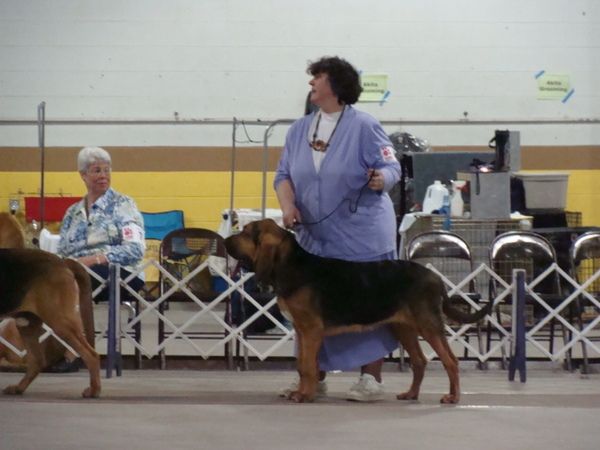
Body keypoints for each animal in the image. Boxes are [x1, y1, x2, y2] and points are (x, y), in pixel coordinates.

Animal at [0, 213, 100, 397]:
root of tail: (62, 261)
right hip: (27, 323)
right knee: (37, 362)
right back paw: (18, 388)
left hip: (60, 322)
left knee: (91, 354)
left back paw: (94, 390)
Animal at [224, 219, 490, 404]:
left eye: (245, 232)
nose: (224, 241)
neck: (291, 264)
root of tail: (436, 278)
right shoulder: (302, 331)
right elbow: (302, 365)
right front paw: (302, 391)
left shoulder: (311, 330)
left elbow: (308, 367)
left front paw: (304, 396)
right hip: (403, 328)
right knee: (419, 361)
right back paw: (411, 394)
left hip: (429, 325)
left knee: (450, 361)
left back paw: (453, 397)